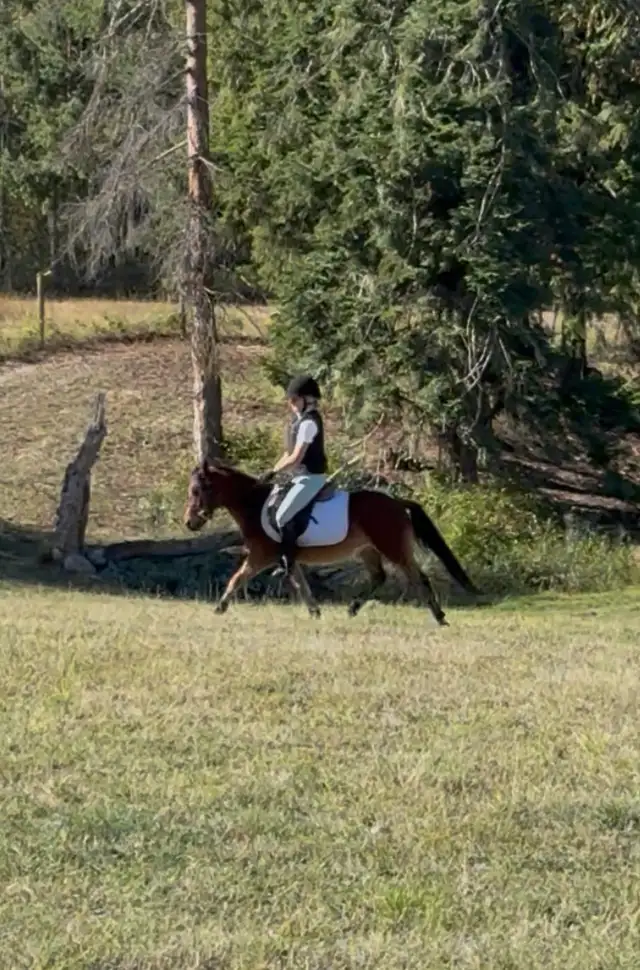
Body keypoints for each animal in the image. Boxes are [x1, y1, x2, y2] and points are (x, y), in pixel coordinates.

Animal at [184, 459, 478, 623]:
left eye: (197, 490)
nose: (190, 522)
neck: (254, 504)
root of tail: (396, 503)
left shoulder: (260, 555)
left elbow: (236, 578)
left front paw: (219, 608)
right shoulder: (287, 558)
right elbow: (301, 585)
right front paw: (315, 612)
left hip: (392, 547)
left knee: (418, 577)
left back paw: (439, 617)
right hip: (366, 550)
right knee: (379, 577)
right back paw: (353, 609)